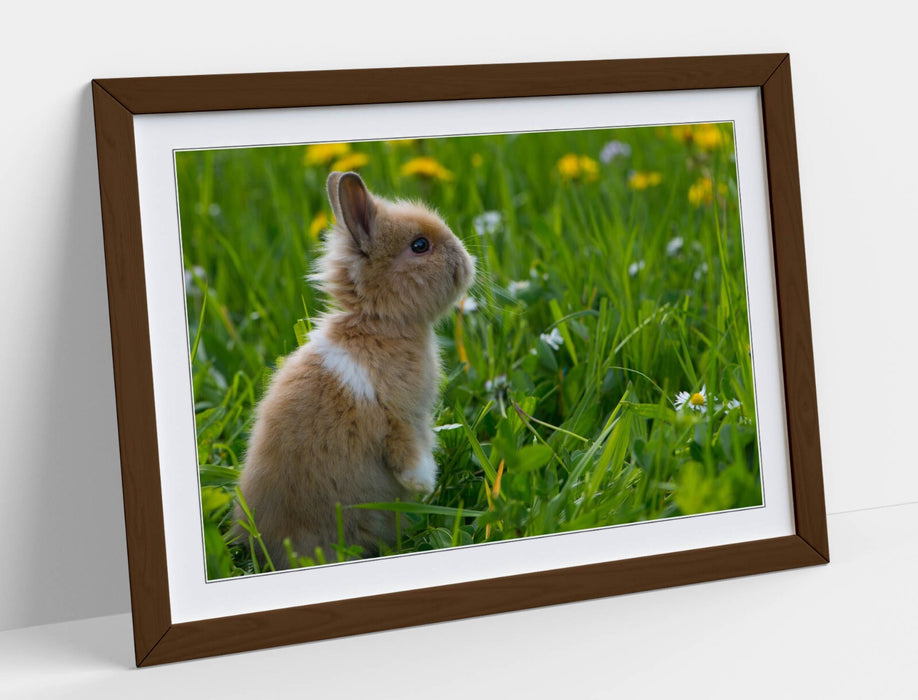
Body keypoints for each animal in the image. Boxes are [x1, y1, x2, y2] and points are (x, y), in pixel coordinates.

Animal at [235, 171, 475, 569]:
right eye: (420, 245)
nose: (467, 262)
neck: (377, 325)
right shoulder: (403, 417)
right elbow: (409, 453)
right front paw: (424, 484)